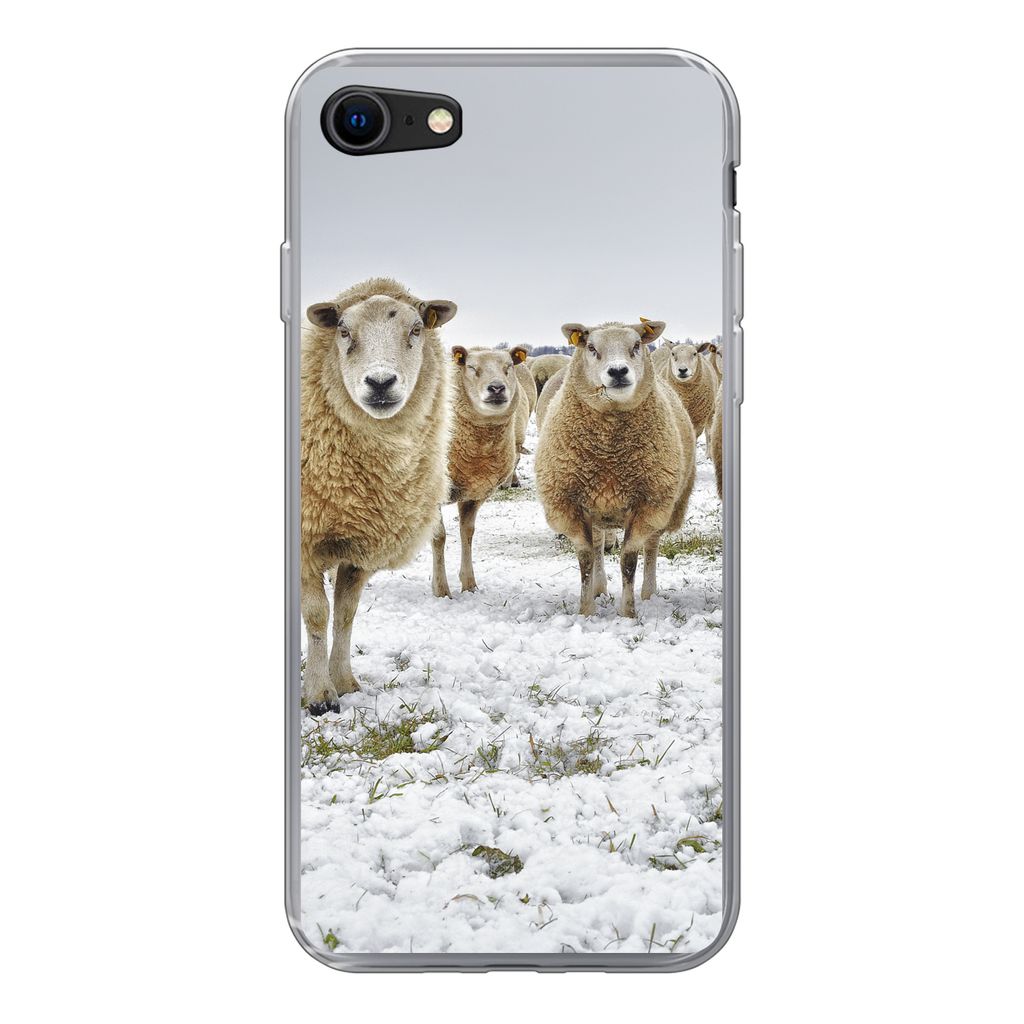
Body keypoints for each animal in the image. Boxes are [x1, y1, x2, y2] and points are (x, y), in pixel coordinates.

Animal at [301, 277, 457, 714]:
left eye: (417, 329)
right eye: (343, 331)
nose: (381, 383)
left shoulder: (362, 546)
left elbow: (346, 613)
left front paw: (345, 682)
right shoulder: (303, 543)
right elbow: (317, 615)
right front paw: (319, 696)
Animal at [432, 346, 530, 596]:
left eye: (508, 366)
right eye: (471, 367)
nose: (496, 388)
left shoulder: (474, 493)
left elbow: (467, 533)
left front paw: (469, 584)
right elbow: (439, 537)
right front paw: (441, 590)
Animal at [535, 320, 696, 617]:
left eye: (636, 345)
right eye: (590, 347)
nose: (618, 371)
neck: (609, 453)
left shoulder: (647, 504)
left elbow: (629, 560)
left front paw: (628, 612)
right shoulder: (571, 505)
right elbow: (586, 560)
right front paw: (586, 610)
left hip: (667, 503)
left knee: (652, 546)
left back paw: (649, 592)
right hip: (597, 506)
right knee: (599, 544)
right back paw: (600, 589)